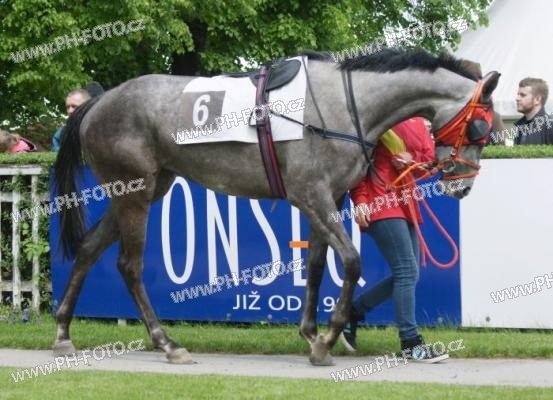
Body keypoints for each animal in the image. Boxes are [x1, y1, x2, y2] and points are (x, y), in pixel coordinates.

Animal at [53, 48, 499, 366]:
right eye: (481, 128)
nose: (462, 186)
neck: (345, 104)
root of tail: (98, 103)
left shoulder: (330, 197)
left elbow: (317, 266)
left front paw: (312, 335)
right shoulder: (310, 194)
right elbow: (351, 261)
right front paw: (328, 337)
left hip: (141, 189)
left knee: (89, 249)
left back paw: (62, 333)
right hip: (136, 192)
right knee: (129, 265)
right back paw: (167, 343)